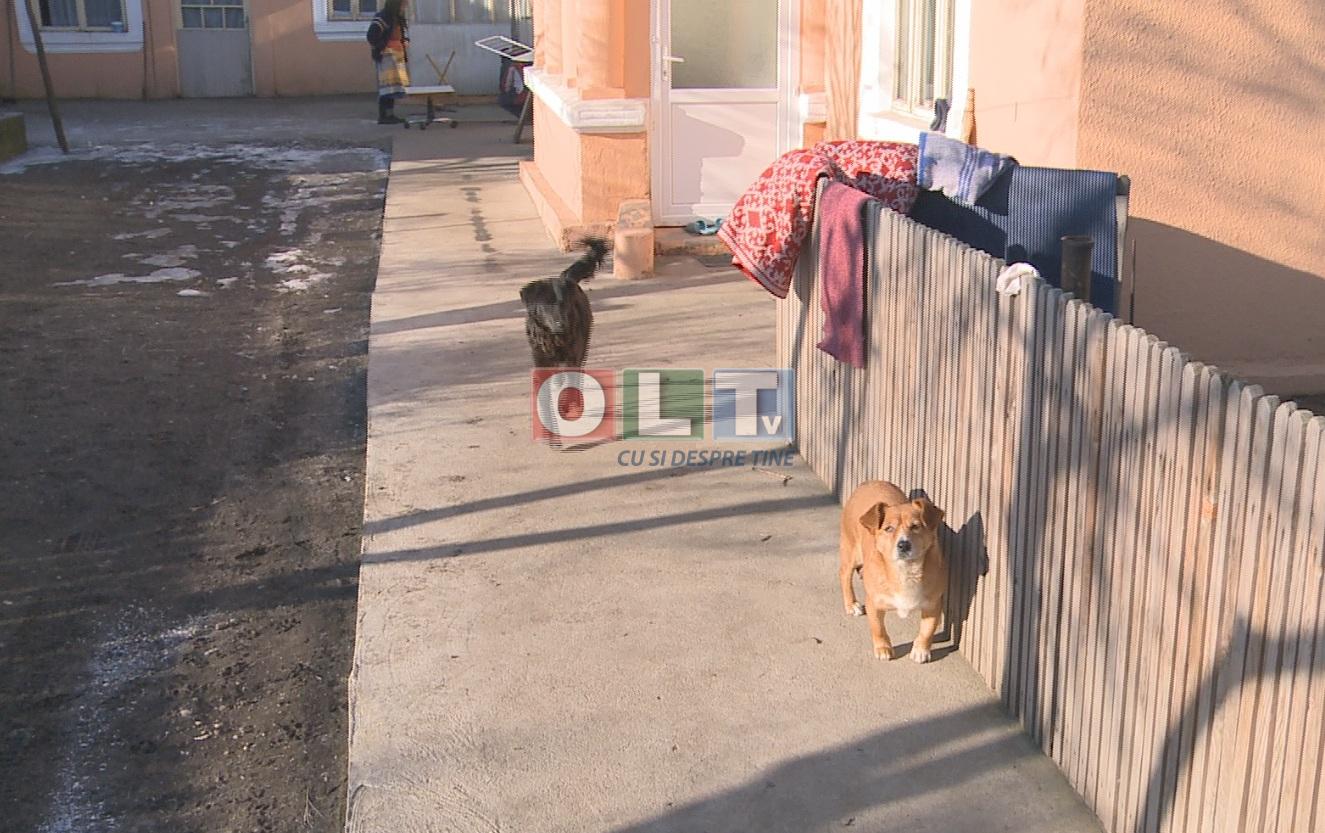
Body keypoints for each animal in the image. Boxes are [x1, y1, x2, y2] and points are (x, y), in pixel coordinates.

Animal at [519, 237, 608, 368]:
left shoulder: (572, 358)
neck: (553, 337)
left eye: (564, 303)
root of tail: (566, 277)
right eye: (546, 304)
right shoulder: (540, 358)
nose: (561, 325)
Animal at [839, 480, 947, 662]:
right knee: (845, 575)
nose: (903, 544)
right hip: (851, 551)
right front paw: (883, 648)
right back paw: (851, 604)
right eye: (888, 529)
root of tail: (870, 482)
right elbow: (878, 628)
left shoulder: (933, 605)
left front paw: (921, 650)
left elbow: (927, 631)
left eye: (915, 526)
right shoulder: (874, 603)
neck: (905, 571)